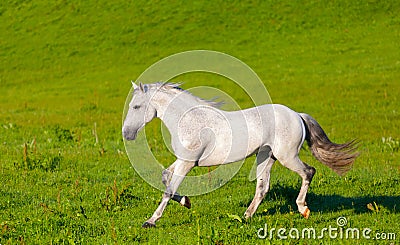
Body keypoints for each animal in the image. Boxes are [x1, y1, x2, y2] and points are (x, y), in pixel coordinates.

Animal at [122, 82, 360, 228]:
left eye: (136, 106)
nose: (127, 134)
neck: (189, 120)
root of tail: (296, 115)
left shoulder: (188, 162)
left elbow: (168, 190)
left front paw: (151, 221)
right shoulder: (183, 160)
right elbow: (165, 177)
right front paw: (186, 202)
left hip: (287, 156)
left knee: (309, 172)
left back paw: (303, 209)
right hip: (267, 157)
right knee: (263, 187)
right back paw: (246, 216)